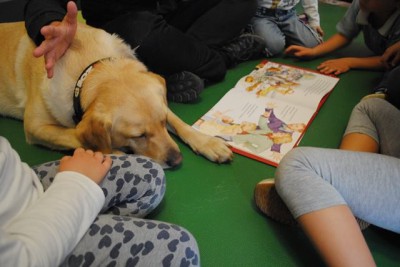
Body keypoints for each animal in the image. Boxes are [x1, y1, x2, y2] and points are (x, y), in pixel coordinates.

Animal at [0, 22, 233, 168]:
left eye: (162, 122)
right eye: (138, 136)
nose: (176, 160)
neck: (90, 67)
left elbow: (180, 123)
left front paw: (207, 142)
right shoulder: (35, 128)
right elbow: (74, 135)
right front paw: (117, 154)